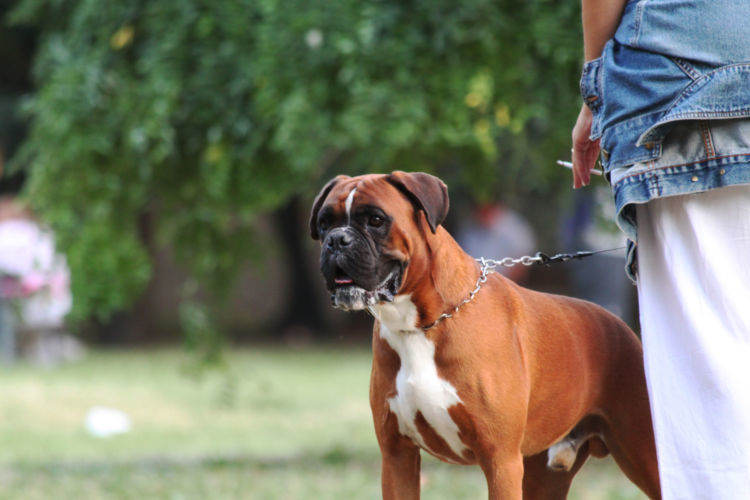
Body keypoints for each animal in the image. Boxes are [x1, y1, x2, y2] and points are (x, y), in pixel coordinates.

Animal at [308, 170, 660, 498]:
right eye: (324, 224)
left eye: (376, 220)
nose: (337, 239)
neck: (421, 325)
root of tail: (620, 326)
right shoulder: (397, 456)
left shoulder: (500, 460)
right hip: (544, 477)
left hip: (647, 455)